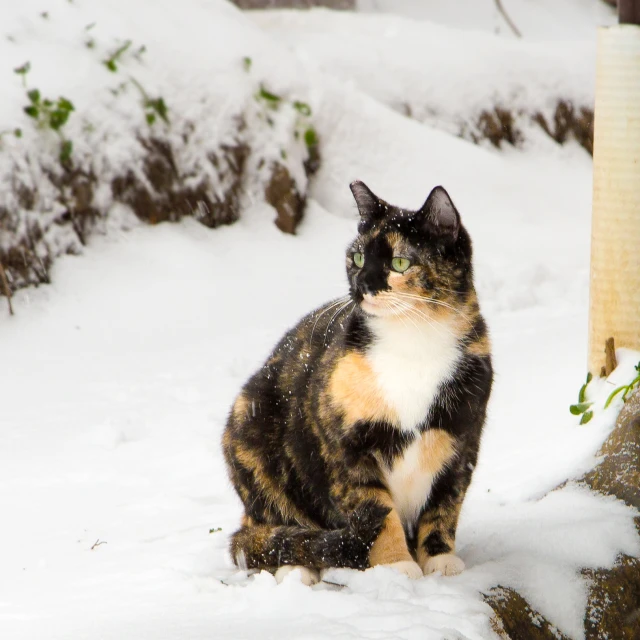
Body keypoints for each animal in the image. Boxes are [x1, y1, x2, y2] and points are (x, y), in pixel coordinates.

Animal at [222, 180, 492, 584]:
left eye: (400, 262)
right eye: (359, 258)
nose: (363, 285)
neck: (413, 344)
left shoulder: (462, 439)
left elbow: (445, 505)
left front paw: (440, 560)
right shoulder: (346, 447)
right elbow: (376, 512)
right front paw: (397, 567)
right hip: (248, 425)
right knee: (264, 528)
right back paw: (296, 567)